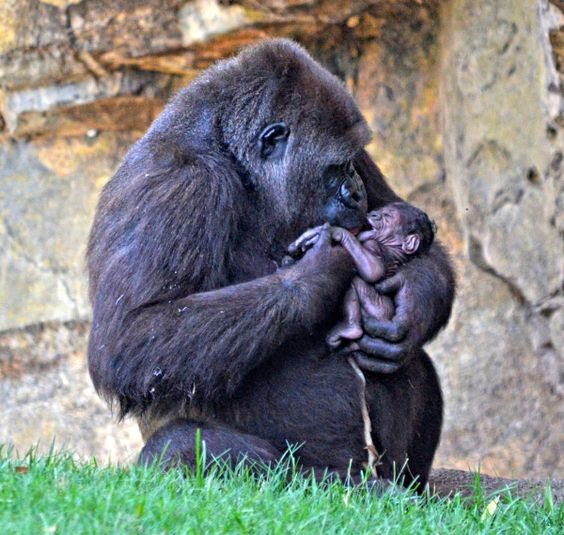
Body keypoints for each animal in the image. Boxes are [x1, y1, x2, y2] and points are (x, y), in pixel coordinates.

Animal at [290, 202, 436, 352]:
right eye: (380, 210)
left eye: (387, 216)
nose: (373, 214)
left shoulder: (374, 245)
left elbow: (373, 271)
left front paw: (337, 232)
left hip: (378, 311)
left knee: (353, 282)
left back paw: (351, 329)